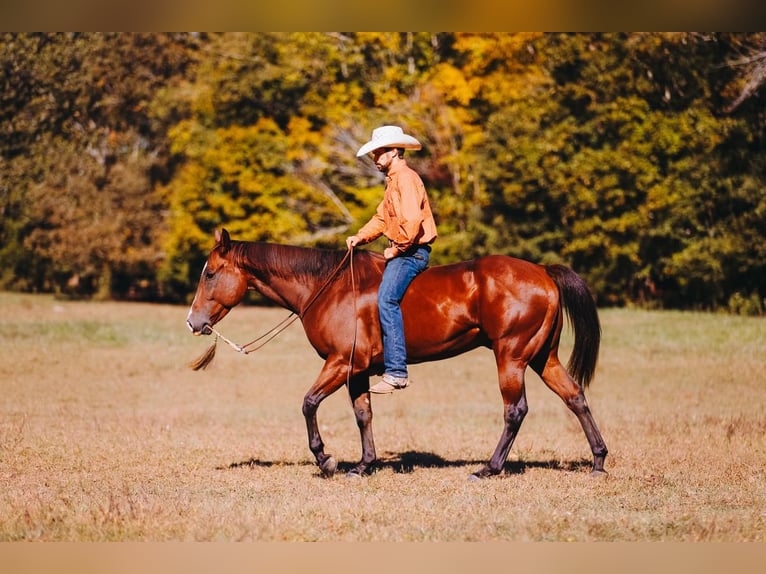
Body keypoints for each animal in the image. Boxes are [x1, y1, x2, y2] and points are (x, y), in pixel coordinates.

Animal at [186, 228, 608, 479]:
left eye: (210, 273)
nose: (193, 322)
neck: (329, 287)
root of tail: (543, 271)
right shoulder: (355, 370)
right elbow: (363, 415)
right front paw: (364, 464)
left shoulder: (339, 363)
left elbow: (308, 404)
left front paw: (326, 459)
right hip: (542, 358)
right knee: (576, 398)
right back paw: (598, 461)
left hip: (512, 358)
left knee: (515, 411)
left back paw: (489, 467)